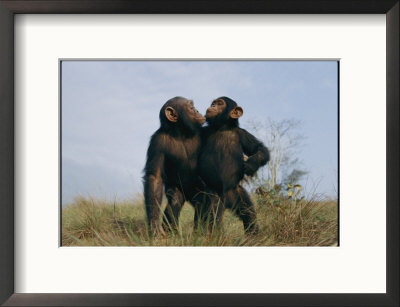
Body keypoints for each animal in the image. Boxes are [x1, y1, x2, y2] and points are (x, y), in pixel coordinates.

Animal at [143, 96, 206, 236]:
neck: (180, 132)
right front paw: (154, 225)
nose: (197, 110)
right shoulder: (157, 143)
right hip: (178, 188)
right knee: (174, 204)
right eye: (191, 107)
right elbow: (155, 177)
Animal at [199, 97, 270, 235]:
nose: (213, 106)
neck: (223, 128)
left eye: (220, 103)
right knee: (214, 215)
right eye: (213, 103)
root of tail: (227, 200)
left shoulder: (243, 134)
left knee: (248, 214)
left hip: (237, 193)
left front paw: (251, 164)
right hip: (215, 194)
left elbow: (258, 148)